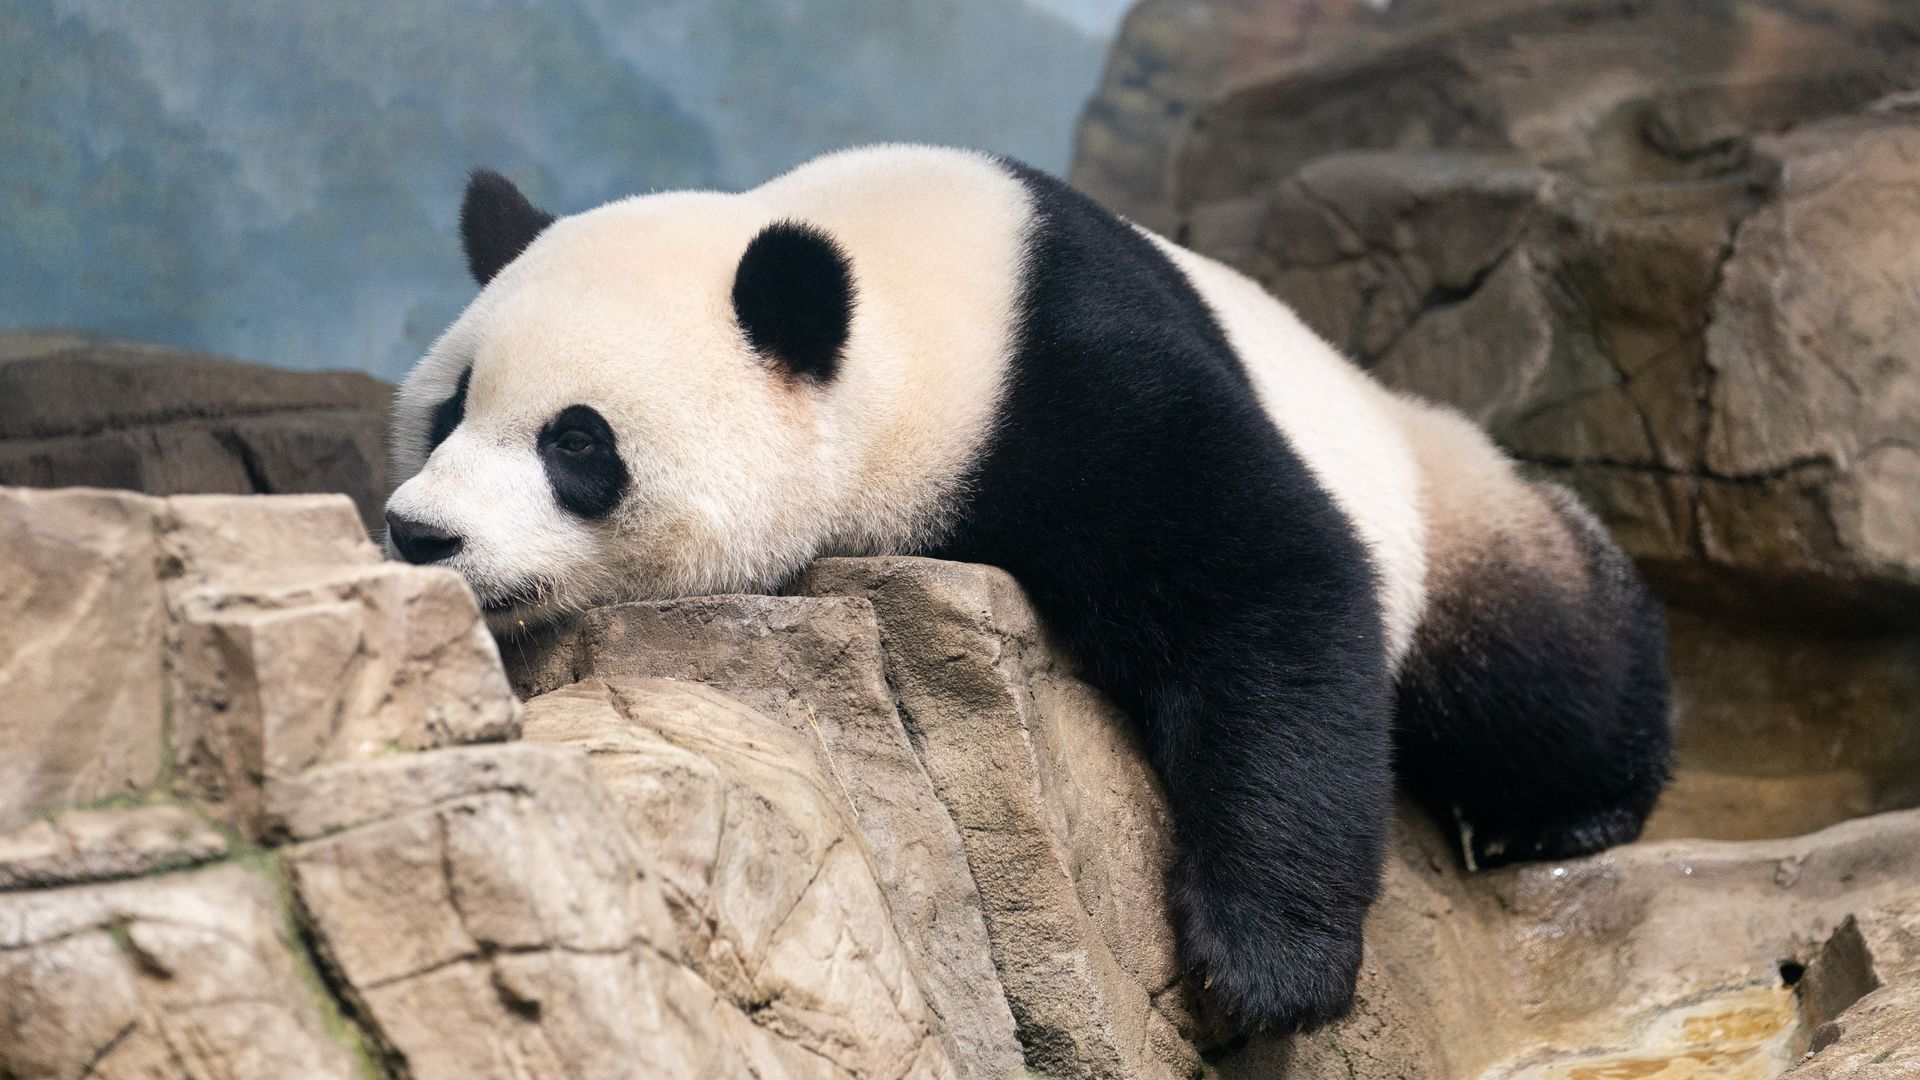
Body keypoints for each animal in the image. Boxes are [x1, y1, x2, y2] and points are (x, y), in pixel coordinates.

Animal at [384, 144, 1671, 1033]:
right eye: (448, 411)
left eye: (576, 444)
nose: (417, 533)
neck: (897, 311)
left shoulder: (1070, 376)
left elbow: (1268, 590)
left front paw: (1265, 969)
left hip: (1444, 508)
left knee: (1539, 666)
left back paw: (1564, 813)